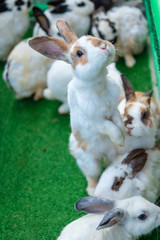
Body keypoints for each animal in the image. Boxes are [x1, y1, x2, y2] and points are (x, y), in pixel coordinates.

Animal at [28, 18, 125, 195]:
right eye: (79, 53)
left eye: (91, 36)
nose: (104, 45)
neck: (99, 84)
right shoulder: (96, 120)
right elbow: (111, 128)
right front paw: (120, 139)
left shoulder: (113, 109)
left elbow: (118, 122)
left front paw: (124, 137)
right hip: (89, 162)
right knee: (92, 176)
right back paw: (92, 191)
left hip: (111, 154)